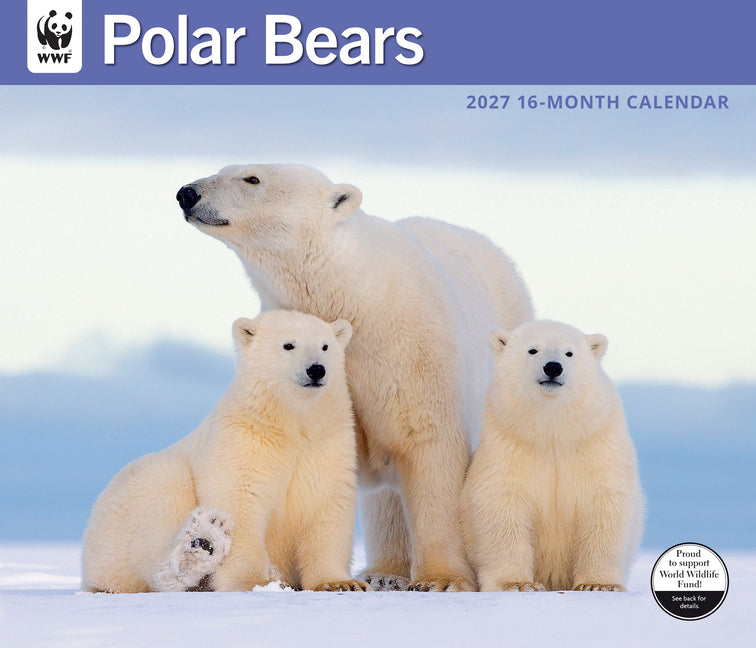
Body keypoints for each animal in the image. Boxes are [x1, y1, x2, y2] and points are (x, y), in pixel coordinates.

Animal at [81, 310, 366, 593]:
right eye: (288, 345)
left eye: (325, 346)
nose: (316, 369)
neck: (288, 424)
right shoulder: (242, 441)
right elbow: (240, 501)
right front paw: (255, 580)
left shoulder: (327, 446)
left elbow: (327, 507)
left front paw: (341, 583)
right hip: (131, 510)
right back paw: (199, 548)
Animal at [176, 164, 534, 592]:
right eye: (223, 169)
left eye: (252, 178)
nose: (187, 193)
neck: (353, 297)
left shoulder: (413, 355)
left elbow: (429, 449)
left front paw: (443, 579)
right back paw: (384, 573)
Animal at [461, 320, 644, 592]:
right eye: (532, 350)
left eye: (569, 353)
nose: (553, 367)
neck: (553, 433)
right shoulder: (509, 444)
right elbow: (502, 503)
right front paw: (517, 583)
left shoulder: (596, 444)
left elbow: (604, 502)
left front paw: (598, 584)